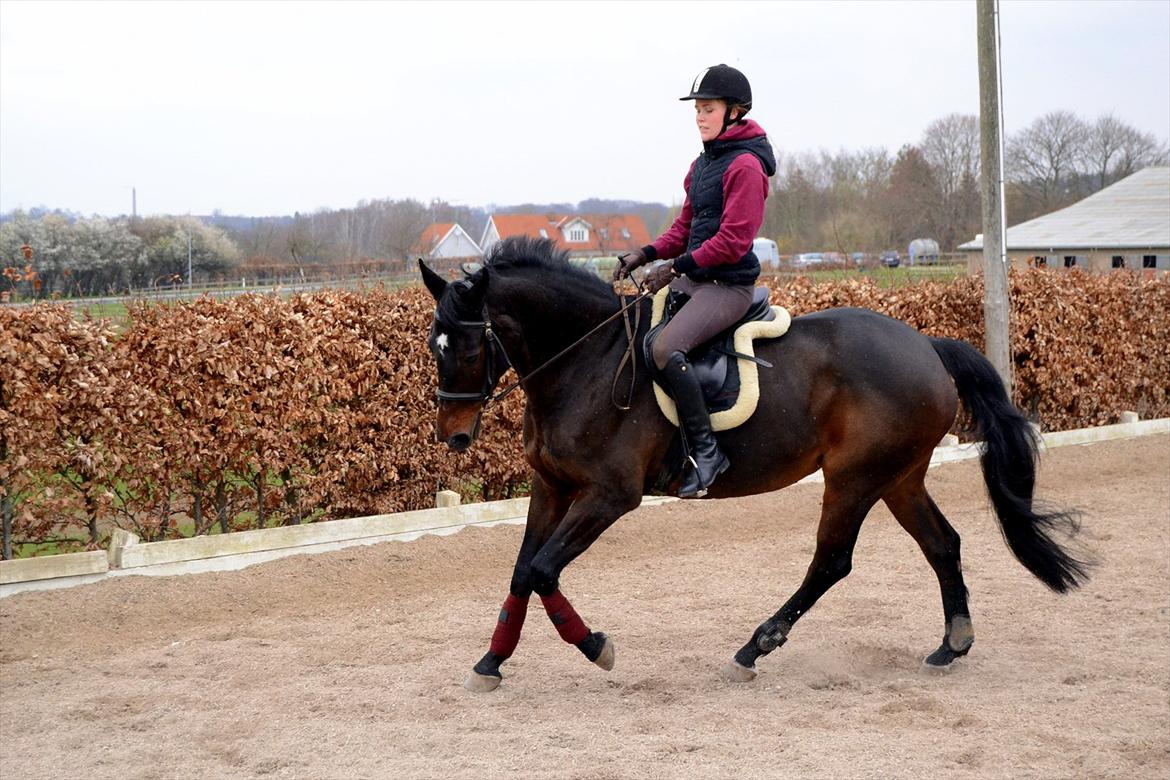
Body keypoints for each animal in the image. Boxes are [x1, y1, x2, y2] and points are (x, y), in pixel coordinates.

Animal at [418, 235, 1085, 692]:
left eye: (471, 344)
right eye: (433, 344)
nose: (454, 436)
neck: (586, 359)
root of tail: (926, 344)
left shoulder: (609, 495)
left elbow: (542, 571)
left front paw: (595, 647)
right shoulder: (551, 487)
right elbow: (522, 571)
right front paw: (491, 662)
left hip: (854, 478)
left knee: (832, 562)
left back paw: (754, 648)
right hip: (899, 477)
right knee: (942, 544)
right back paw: (952, 644)